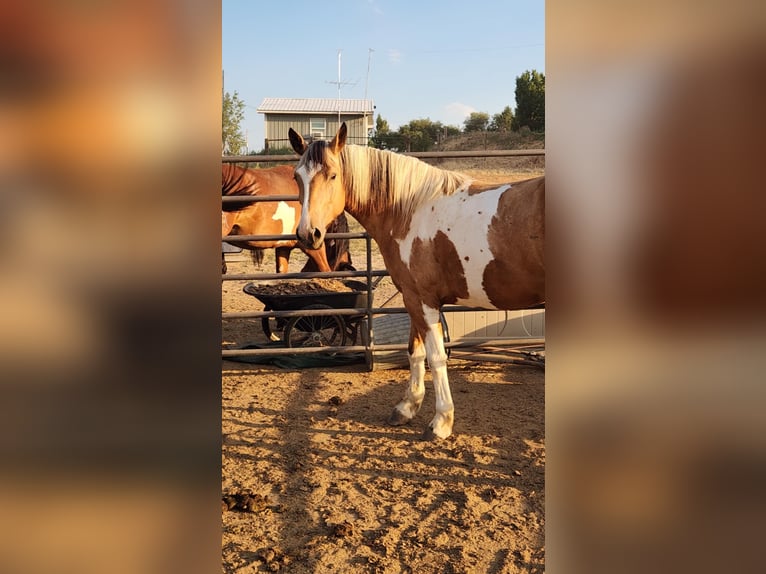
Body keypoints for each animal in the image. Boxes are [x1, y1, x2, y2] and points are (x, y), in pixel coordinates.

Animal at [288, 124, 544, 440]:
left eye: (333, 175)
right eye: (297, 176)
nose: (307, 234)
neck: (409, 211)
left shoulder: (424, 301)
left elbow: (436, 357)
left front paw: (441, 422)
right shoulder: (411, 298)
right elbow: (414, 351)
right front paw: (407, 408)